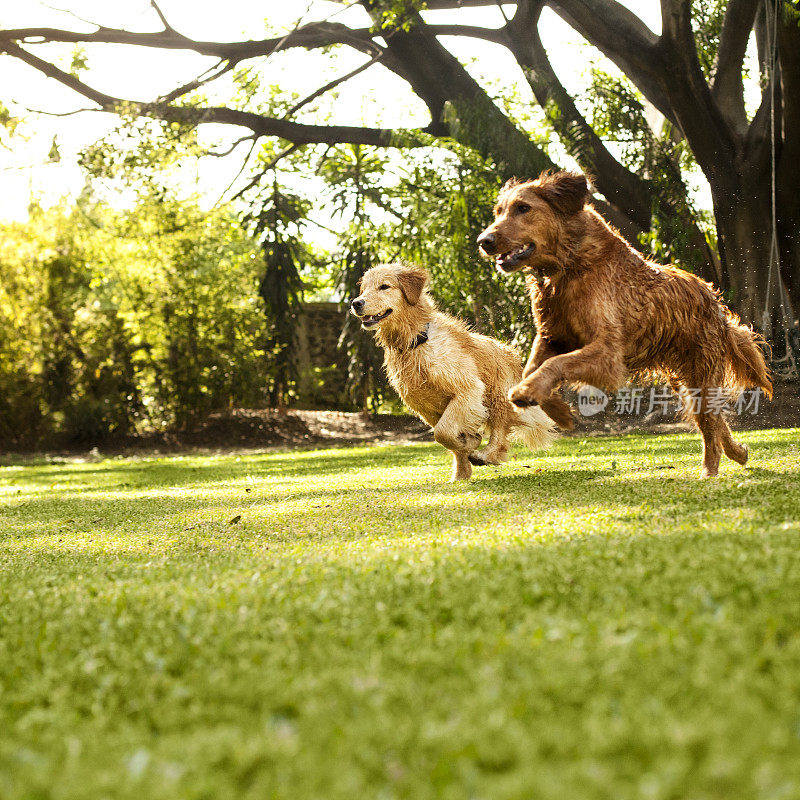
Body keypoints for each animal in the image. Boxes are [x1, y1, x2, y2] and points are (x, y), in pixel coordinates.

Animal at [352, 264, 556, 482]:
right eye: (364, 289)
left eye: (384, 286)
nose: (356, 303)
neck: (415, 341)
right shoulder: (427, 408)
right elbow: (446, 438)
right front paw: (463, 465)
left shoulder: (468, 389)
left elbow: (443, 433)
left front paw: (469, 443)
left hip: (499, 395)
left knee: (499, 433)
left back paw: (485, 455)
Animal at [478, 170, 772, 478]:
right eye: (499, 212)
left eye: (523, 208)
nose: (483, 240)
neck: (571, 266)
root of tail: (714, 300)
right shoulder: (552, 337)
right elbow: (532, 368)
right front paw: (558, 411)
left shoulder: (607, 352)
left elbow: (554, 365)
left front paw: (528, 393)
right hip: (686, 381)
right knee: (713, 422)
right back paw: (737, 452)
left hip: (702, 371)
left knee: (710, 427)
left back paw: (709, 471)